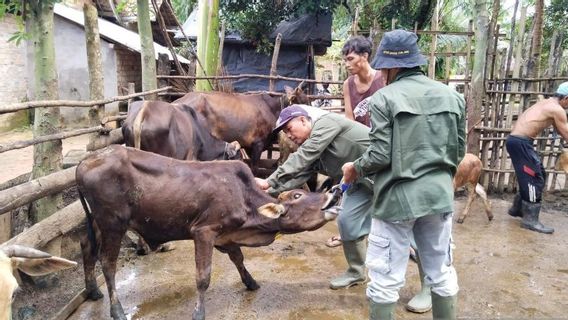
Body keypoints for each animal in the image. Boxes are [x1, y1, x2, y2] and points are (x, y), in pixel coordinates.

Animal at [77, 146, 340, 320]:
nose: (335, 192)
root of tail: (87, 159)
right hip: (113, 224)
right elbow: (203, 277)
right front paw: (199, 312)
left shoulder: (227, 236)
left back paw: (93, 291)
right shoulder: (204, 231)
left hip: (99, 223)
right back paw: (117, 310)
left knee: (87, 247)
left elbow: (238, 258)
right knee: (107, 263)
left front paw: (250, 282)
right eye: (298, 195)